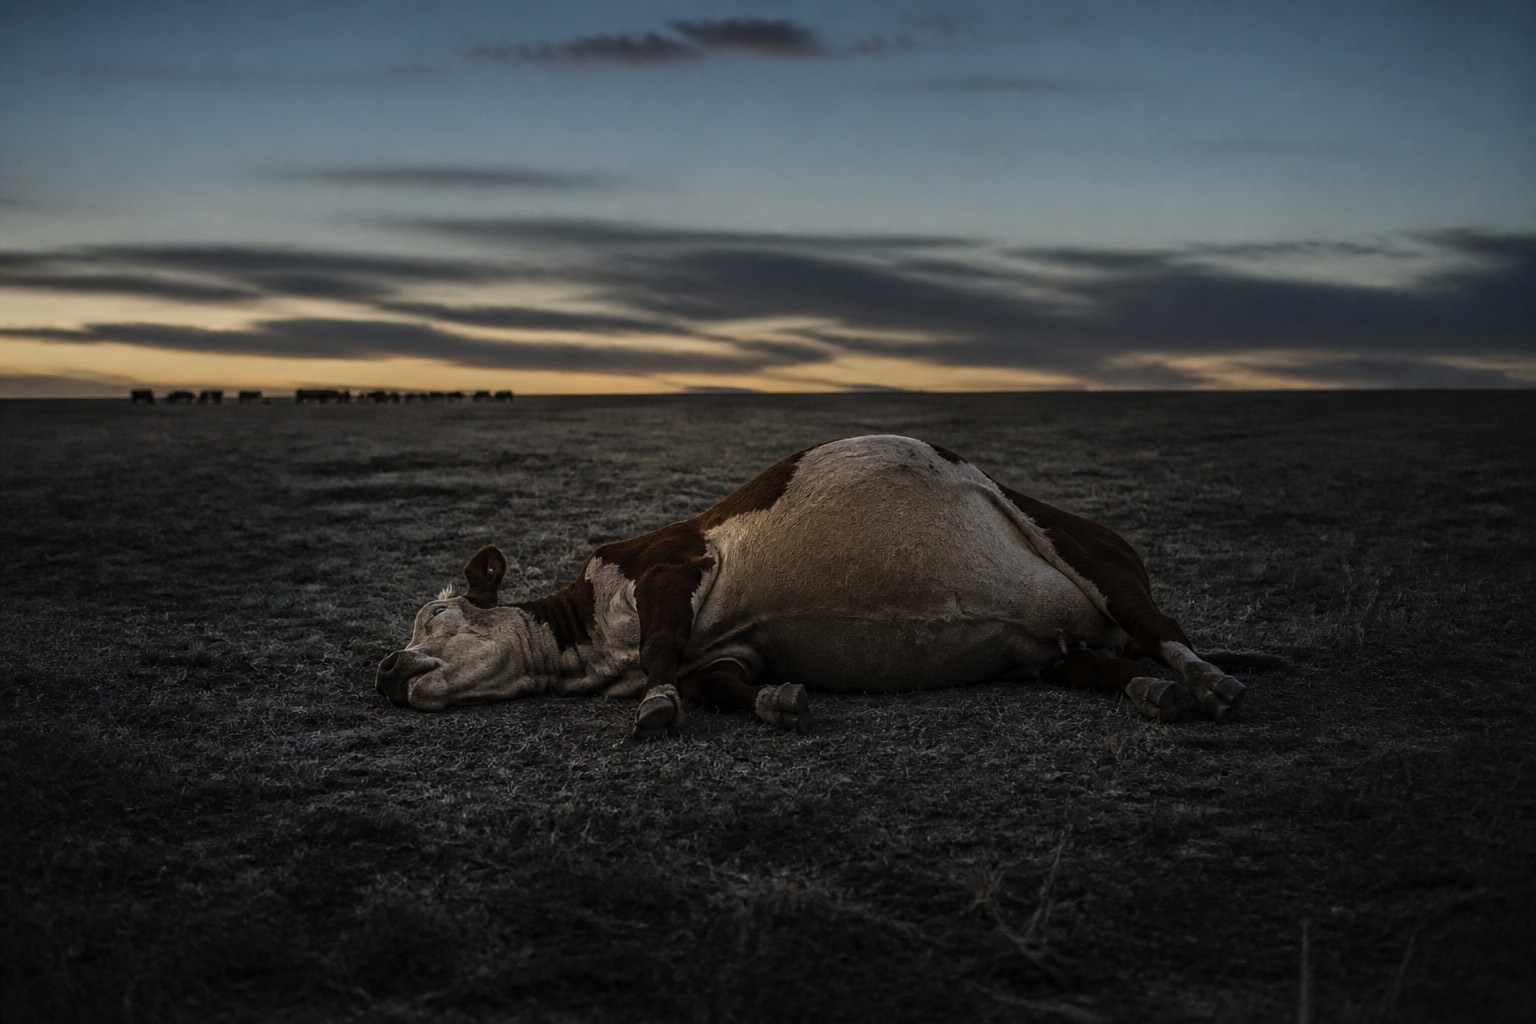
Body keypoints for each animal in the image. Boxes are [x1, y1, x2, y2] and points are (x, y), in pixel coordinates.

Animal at [376, 435, 1247, 739]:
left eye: (434, 615)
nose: (385, 669)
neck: (592, 639)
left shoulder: (672, 564)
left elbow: (662, 653)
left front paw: (655, 706)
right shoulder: (730, 651)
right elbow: (720, 684)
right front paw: (777, 702)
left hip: (1092, 557)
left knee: (1166, 631)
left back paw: (1210, 681)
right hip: (1057, 653)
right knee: (1110, 663)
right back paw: (1153, 694)